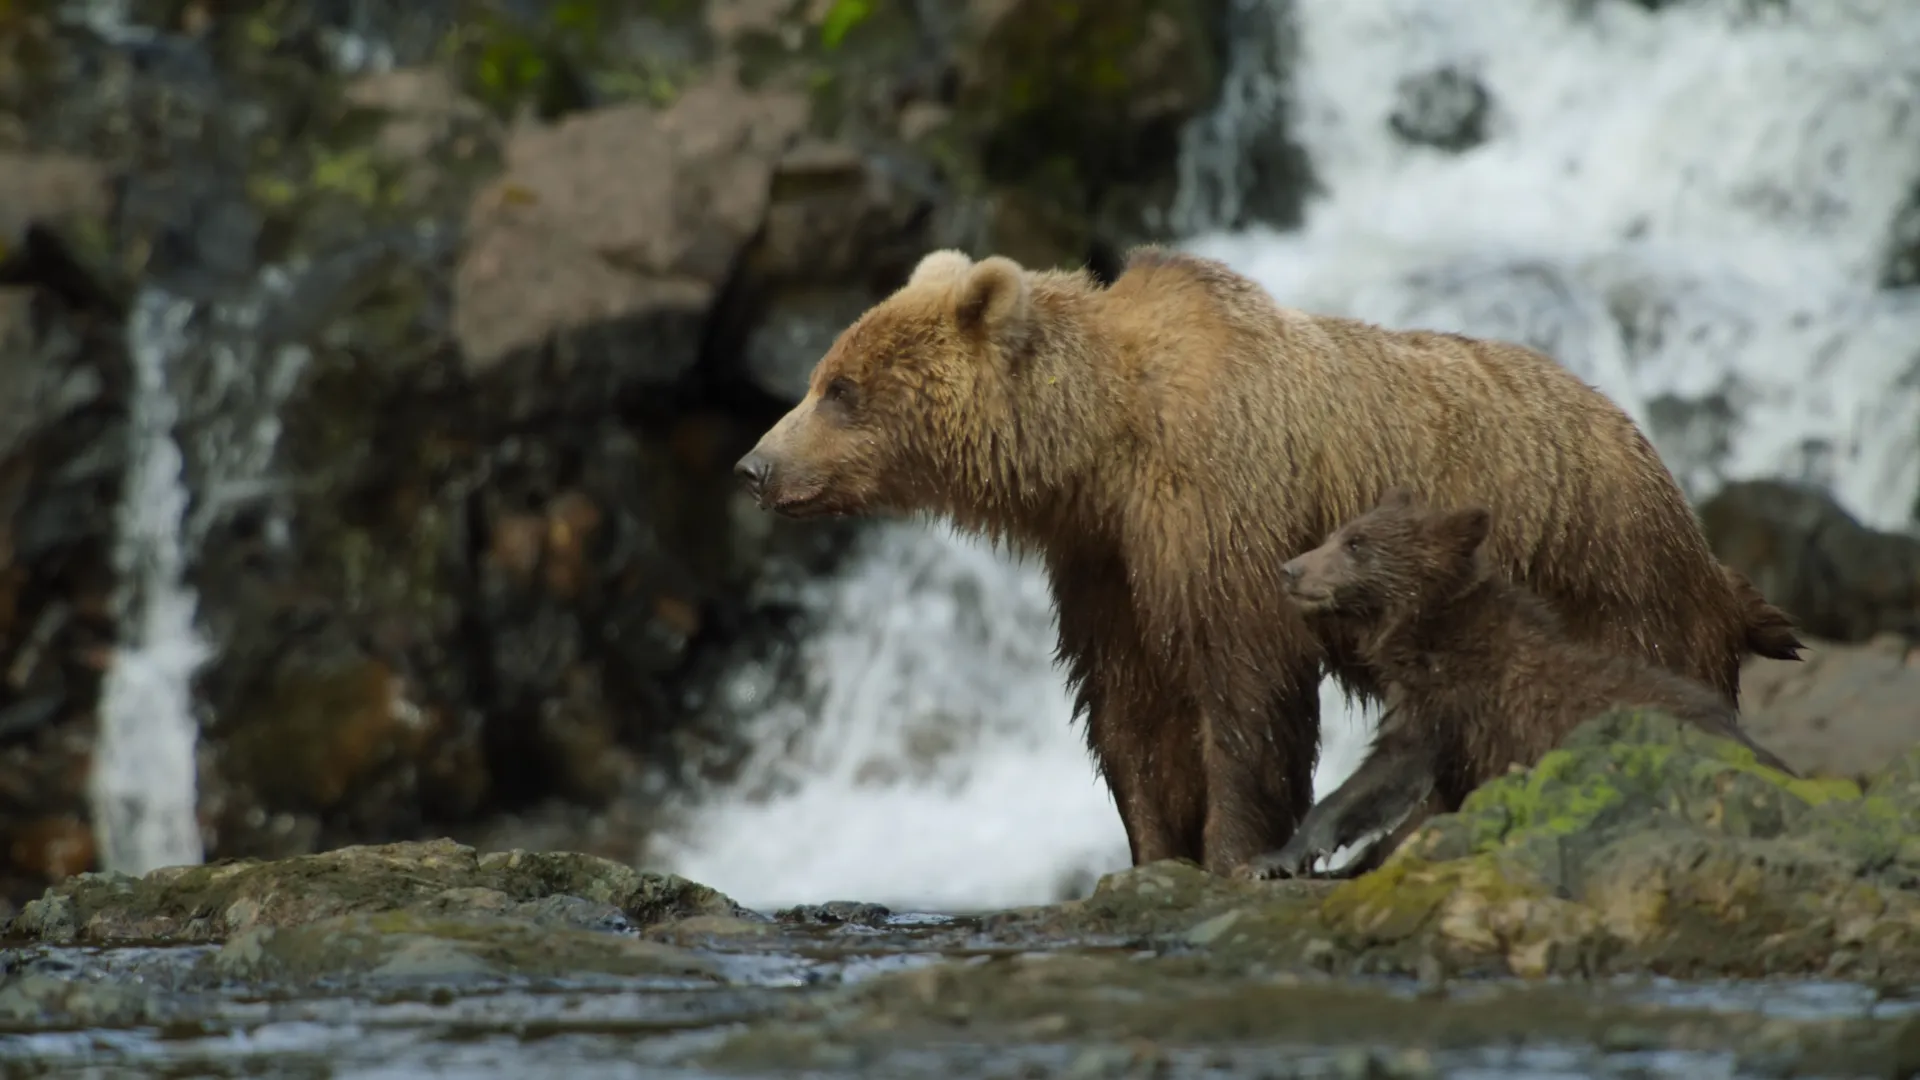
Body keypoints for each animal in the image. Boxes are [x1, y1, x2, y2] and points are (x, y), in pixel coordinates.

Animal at [1240, 488, 1799, 880]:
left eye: (1356, 543)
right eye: (1340, 531)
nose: (1289, 569)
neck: (1424, 632)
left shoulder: (1453, 707)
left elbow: (1383, 777)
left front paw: (1277, 856)